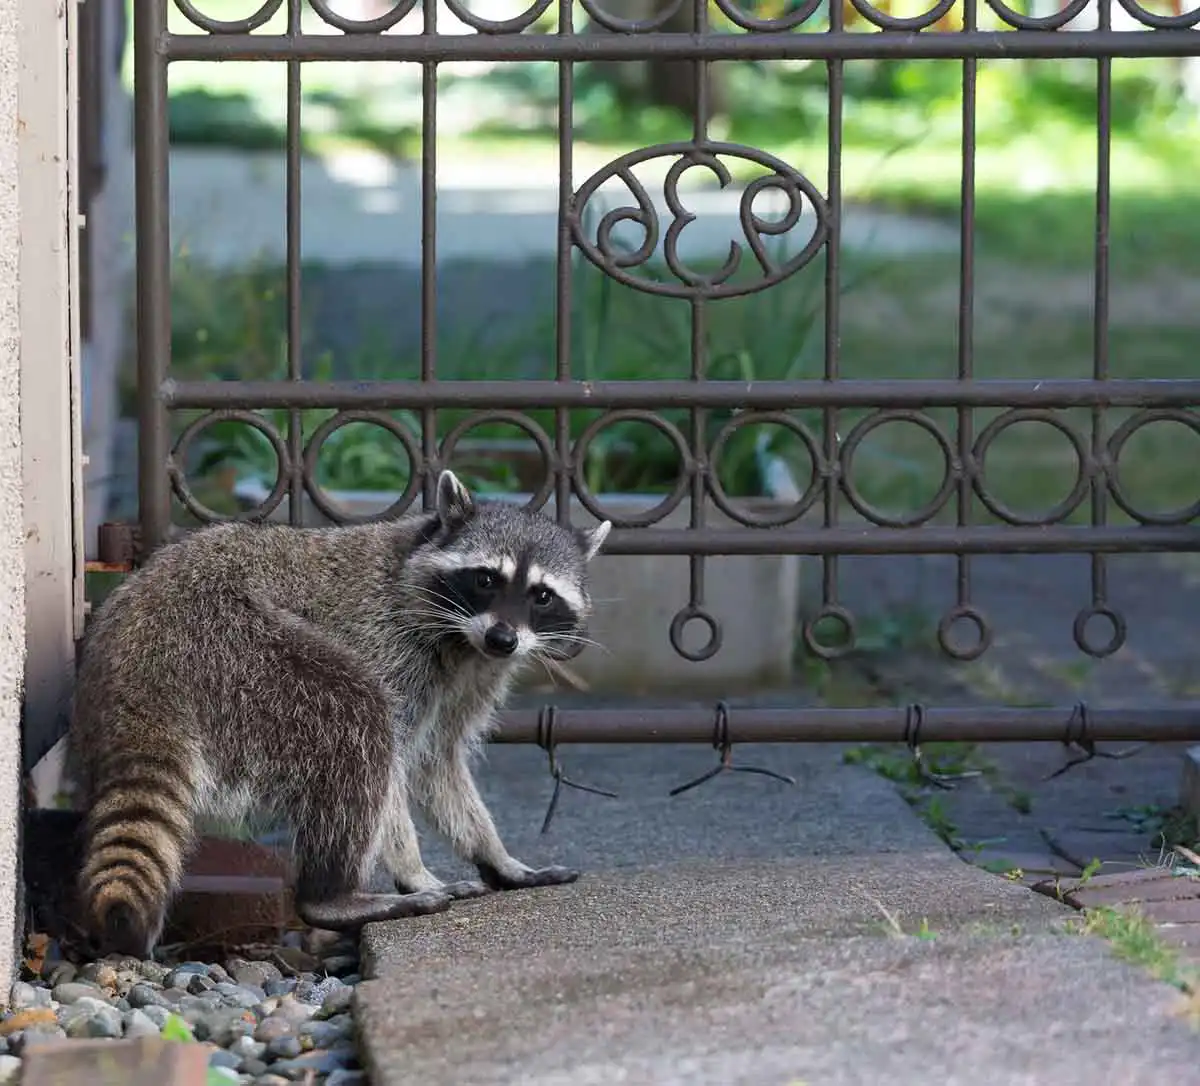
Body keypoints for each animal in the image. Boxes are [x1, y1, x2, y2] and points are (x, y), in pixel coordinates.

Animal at [68, 470, 610, 958]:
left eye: (542, 595)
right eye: (485, 579)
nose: (503, 638)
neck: (460, 638)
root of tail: (140, 663)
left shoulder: (471, 679)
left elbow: (438, 764)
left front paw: (496, 855)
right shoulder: (387, 643)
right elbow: (394, 768)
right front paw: (414, 871)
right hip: (238, 650)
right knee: (356, 720)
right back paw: (332, 895)